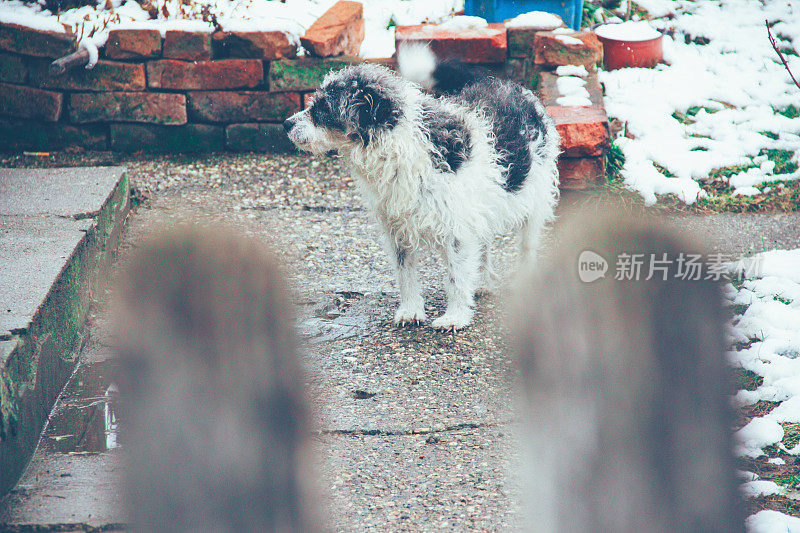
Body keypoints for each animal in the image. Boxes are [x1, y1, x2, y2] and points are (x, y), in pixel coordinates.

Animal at [284, 44, 560, 328]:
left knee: (527, 249)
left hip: (534, 205)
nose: (286, 124)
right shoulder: (398, 230)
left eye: (323, 108)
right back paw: (482, 283)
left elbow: (456, 276)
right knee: (483, 246)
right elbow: (405, 275)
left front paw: (455, 316)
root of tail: (513, 87)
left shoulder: (457, 230)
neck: (399, 148)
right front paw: (411, 311)